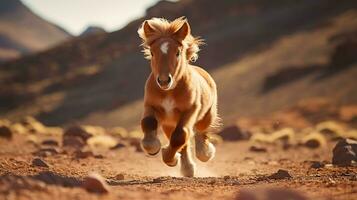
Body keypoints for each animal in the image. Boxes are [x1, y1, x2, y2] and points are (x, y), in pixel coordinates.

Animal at [137, 16, 218, 177]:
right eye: (152, 52)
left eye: (177, 53)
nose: (163, 81)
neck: (169, 91)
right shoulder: (151, 106)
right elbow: (148, 123)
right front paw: (154, 148)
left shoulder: (190, 111)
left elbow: (181, 135)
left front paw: (168, 155)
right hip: (169, 123)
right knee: (181, 142)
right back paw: (185, 167)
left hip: (206, 115)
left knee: (199, 132)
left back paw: (204, 153)